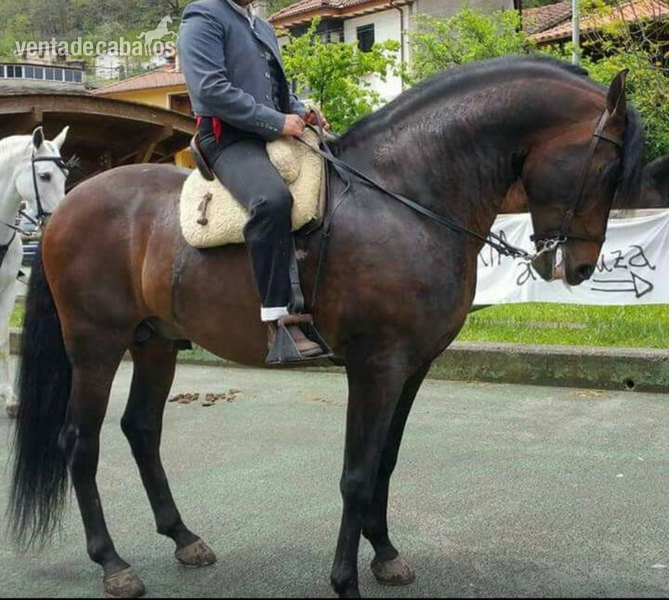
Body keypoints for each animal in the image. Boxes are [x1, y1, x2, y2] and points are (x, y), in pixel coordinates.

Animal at [9, 57, 644, 599]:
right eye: (607, 166)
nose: (580, 267)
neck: (406, 198)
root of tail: (66, 210)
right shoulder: (375, 367)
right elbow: (356, 474)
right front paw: (345, 580)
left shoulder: (412, 368)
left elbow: (384, 462)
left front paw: (384, 554)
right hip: (95, 345)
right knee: (79, 441)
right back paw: (112, 562)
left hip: (155, 343)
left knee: (141, 429)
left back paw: (184, 538)